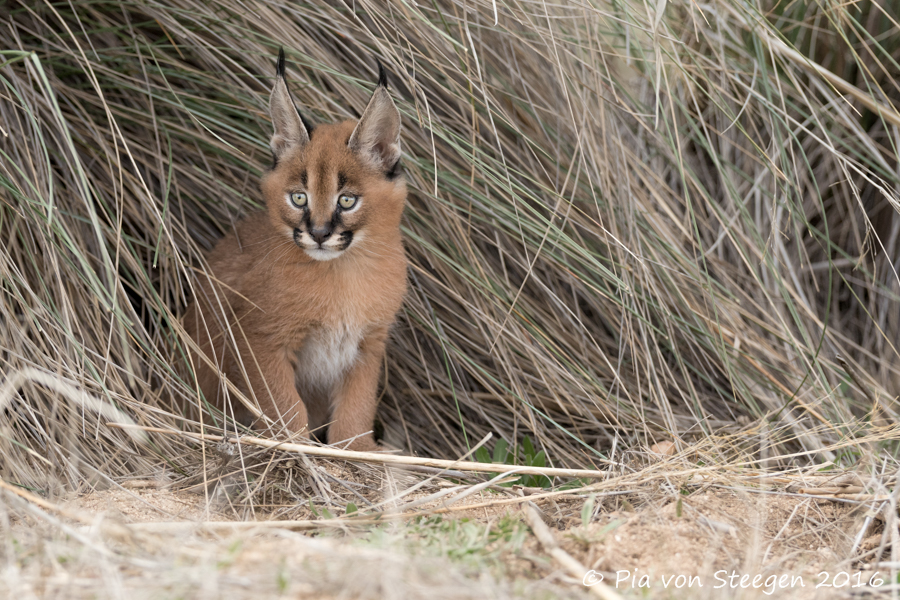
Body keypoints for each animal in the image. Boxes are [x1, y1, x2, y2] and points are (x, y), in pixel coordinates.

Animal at [184, 50, 408, 450]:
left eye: (347, 200)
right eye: (298, 197)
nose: (318, 233)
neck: (344, 274)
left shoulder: (369, 343)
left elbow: (356, 408)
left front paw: (357, 451)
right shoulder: (261, 339)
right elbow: (284, 405)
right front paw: (294, 449)